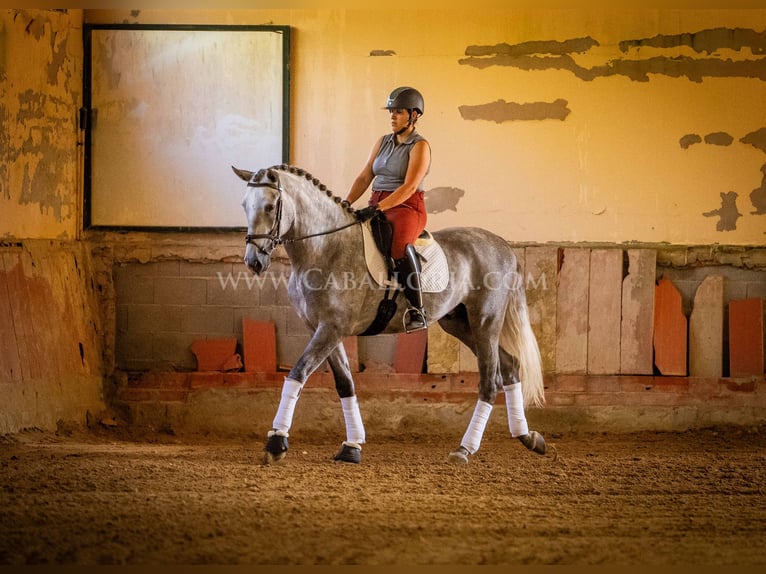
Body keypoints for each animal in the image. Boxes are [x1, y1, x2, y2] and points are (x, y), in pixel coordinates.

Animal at [232, 164, 544, 466]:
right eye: (244, 205)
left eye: (269, 207)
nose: (253, 262)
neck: (326, 249)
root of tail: (502, 245)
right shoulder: (323, 329)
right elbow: (345, 383)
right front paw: (352, 446)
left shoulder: (331, 328)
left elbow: (298, 373)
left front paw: (276, 442)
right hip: (460, 324)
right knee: (510, 366)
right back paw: (528, 437)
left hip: (485, 322)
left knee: (490, 381)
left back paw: (465, 449)